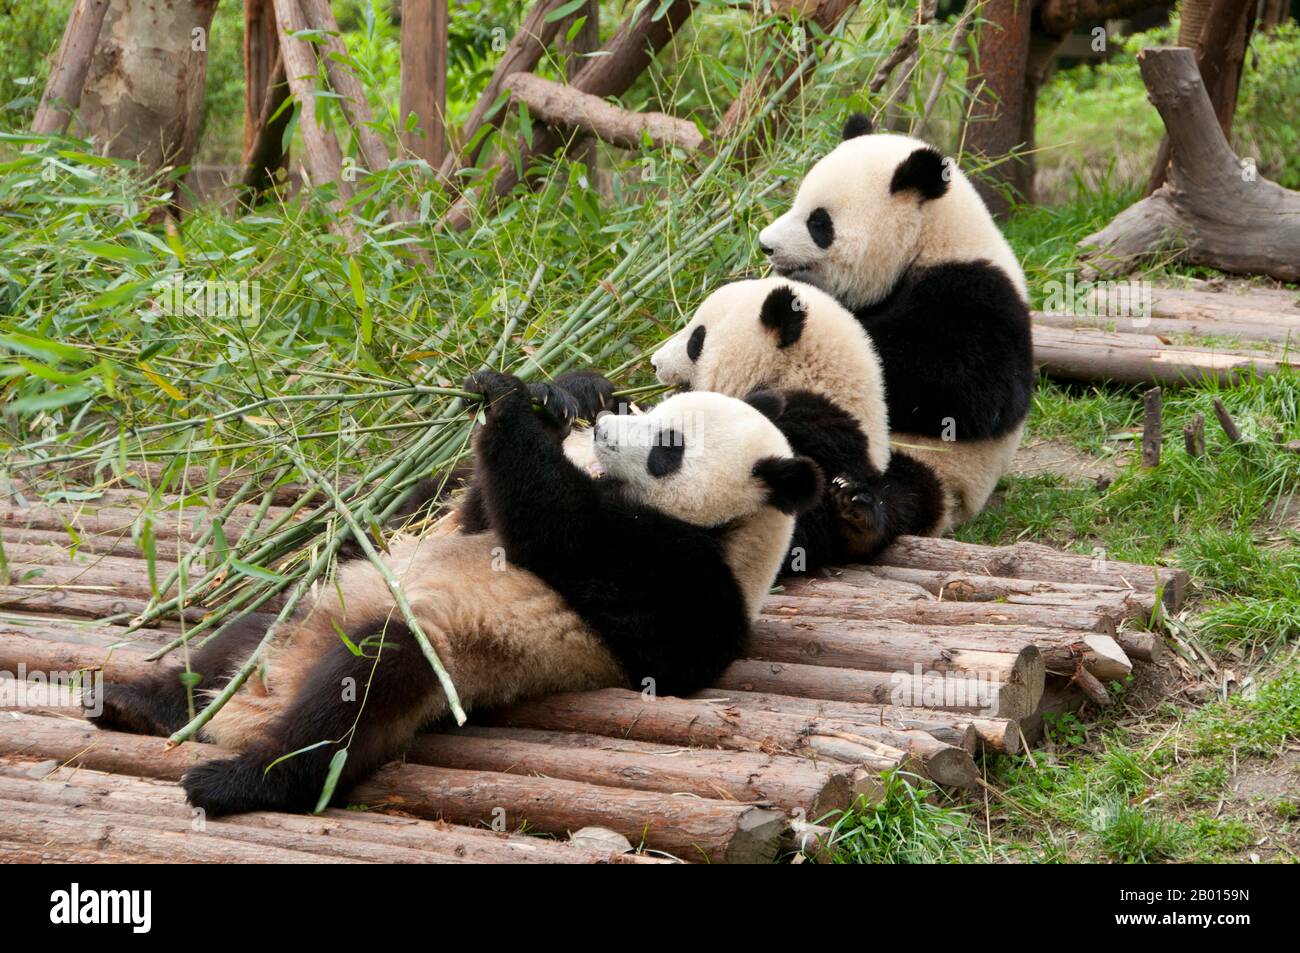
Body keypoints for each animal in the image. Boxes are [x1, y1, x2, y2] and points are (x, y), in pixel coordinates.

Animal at [91, 369, 821, 816]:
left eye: (669, 445)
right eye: (658, 410)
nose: (607, 429)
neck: (736, 532)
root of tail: (257, 705)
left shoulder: (685, 581)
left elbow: (557, 531)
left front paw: (509, 400)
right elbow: (477, 514)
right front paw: (569, 393)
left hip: (436, 661)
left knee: (366, 684)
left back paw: (246, 778)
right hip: (311, 616)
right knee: (247, 635)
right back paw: (144, 701)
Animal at [759, 115, 1029, 530]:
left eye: (819, 222)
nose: (766, 245)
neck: (931, 240)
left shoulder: (980, 296)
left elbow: (966, 386)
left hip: (936, 466)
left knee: (902, 489)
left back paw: (857, 511)